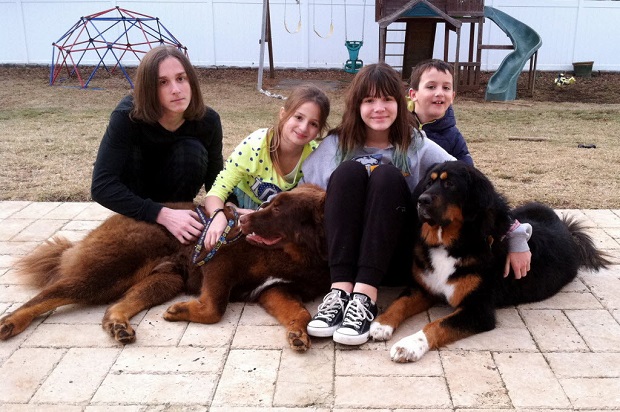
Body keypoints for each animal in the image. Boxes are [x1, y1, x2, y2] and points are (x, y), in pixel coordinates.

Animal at [1, 185, 330, 350]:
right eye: (268, 204)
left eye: (278, 209)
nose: (243, 218)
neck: (298, 256)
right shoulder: (220, 260)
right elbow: (215, 307)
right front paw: (184, 311)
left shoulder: (275, 289)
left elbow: (300, 313)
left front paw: (298, 333)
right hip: (108, 272)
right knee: (48, 294)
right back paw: (11, 322)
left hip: (164, 281)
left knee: (116, 306)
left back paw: (118, 324)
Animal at [368, 161, 612, 360]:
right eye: (429, 182)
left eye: (450, 185)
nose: (421, 200)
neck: (452, 243)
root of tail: (567, 229)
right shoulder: (424, 287)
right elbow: (400, 302)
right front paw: (381, 323)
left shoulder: (478, 310)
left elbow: (435, 325)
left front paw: (409, 345)